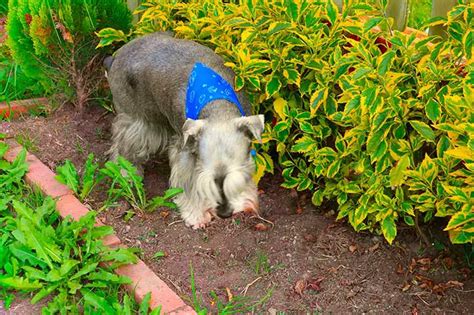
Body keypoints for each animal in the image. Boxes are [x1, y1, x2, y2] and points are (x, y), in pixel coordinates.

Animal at [104, 32, 264, 230]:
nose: (225, 213)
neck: (217, 105)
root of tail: (115, 57)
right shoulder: (186, 154)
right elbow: (188, 183)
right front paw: (196, 215)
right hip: (136, 121)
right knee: (122, 149)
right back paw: (125, 174)